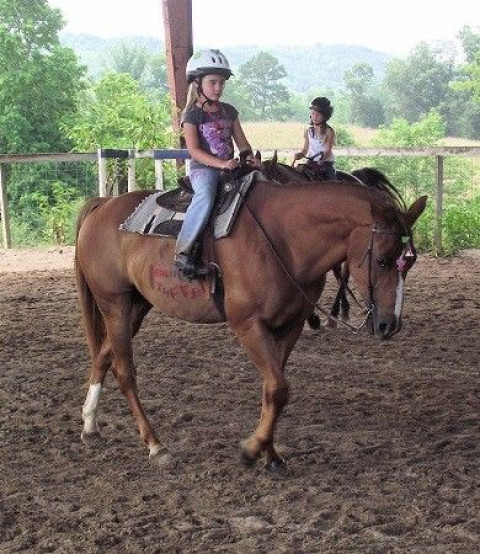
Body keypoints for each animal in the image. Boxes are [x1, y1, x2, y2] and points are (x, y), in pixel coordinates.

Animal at [75, 178, 428, 470]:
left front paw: (270, 455)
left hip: (137, 305)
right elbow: (278, 387)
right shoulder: (248, 325)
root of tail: (103, 205)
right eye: (381, 259)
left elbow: (273, 390)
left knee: (103, 356)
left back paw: (90, 425)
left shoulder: (289, 326)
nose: (390, 325)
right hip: (115, 304)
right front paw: (251, 450)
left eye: (409, 261)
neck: (284, 238)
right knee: (124, 371)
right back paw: (156, 446)